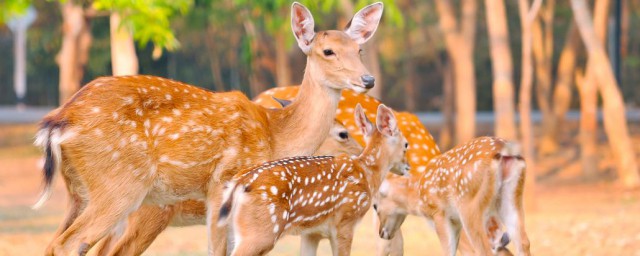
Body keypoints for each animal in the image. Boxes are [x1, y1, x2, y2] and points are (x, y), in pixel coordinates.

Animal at [32, 2, 382, 256]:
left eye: (359, 50)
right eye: (328, 51)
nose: (368, 79)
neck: (275, 135)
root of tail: (58, 122)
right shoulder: (223, 181)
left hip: (79, 191)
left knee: (55, 244)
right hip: (121, 185)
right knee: (67, 244)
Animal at [219, 104, 410, 256]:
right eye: (406, 144)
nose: (408, 167)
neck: (367, 172)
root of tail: (239, 183)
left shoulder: (312, 233)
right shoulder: (345, 222)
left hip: (232, 230)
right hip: (261, 231)